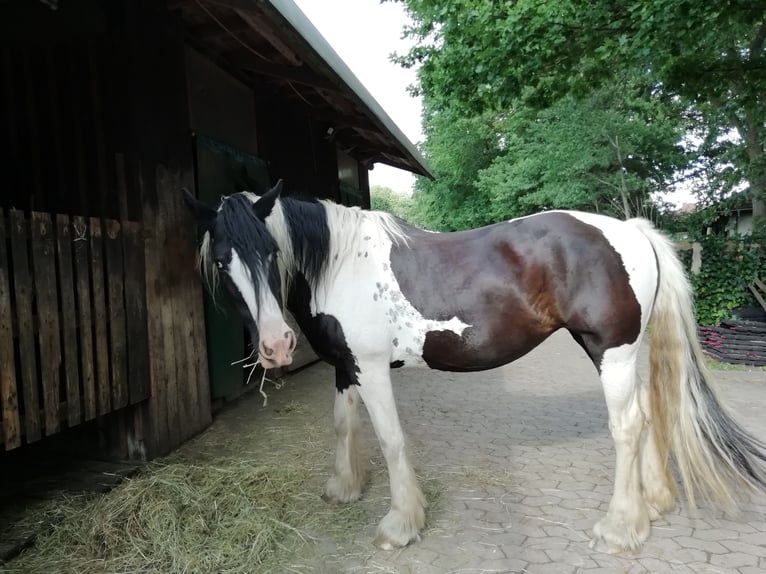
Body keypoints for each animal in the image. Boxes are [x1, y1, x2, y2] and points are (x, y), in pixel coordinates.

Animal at [184, 183, 766, 552]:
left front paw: (400, 524)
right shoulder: (345, 366)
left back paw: (621, 528)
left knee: (627, 426)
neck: (340, 263)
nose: (276, 346)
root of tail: (632, 230)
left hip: (610, 350)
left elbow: (390, 440)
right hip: (617, 355)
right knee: (646, 415)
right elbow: (342, 425)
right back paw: (656, 502)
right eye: (223, 260)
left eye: (270, 252)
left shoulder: (372, 368)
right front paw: (344, 488)